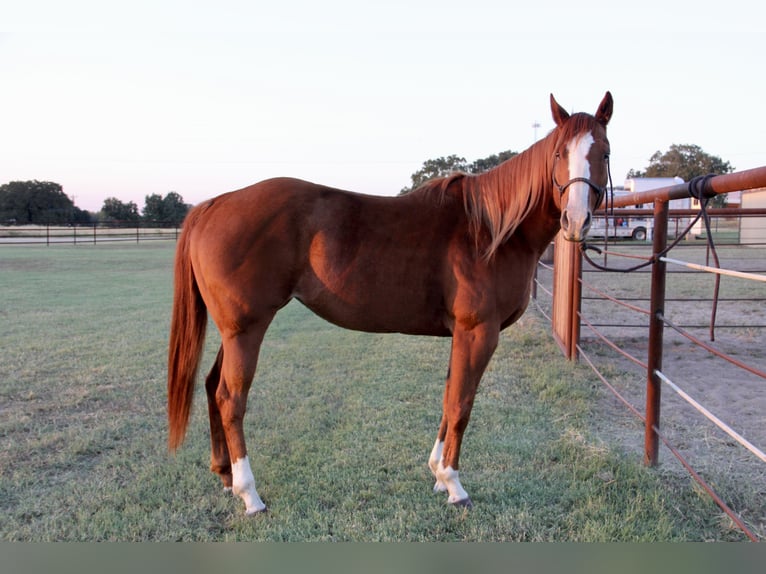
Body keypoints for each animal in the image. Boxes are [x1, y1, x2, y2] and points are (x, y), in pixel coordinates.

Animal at [167, 92, 613, 515]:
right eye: (559, 154)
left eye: (604, 153)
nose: (576, 221)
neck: (491, 230)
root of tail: (214, 204)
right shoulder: (478, 332)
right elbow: (462, 405)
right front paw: (455, 486)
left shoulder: (460, 335)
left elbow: (448, 398)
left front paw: (437, 475)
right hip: (246, 330)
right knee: (231, 399)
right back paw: (250, 495)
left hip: (234, 331)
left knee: (211, 387)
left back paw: (226, 477)